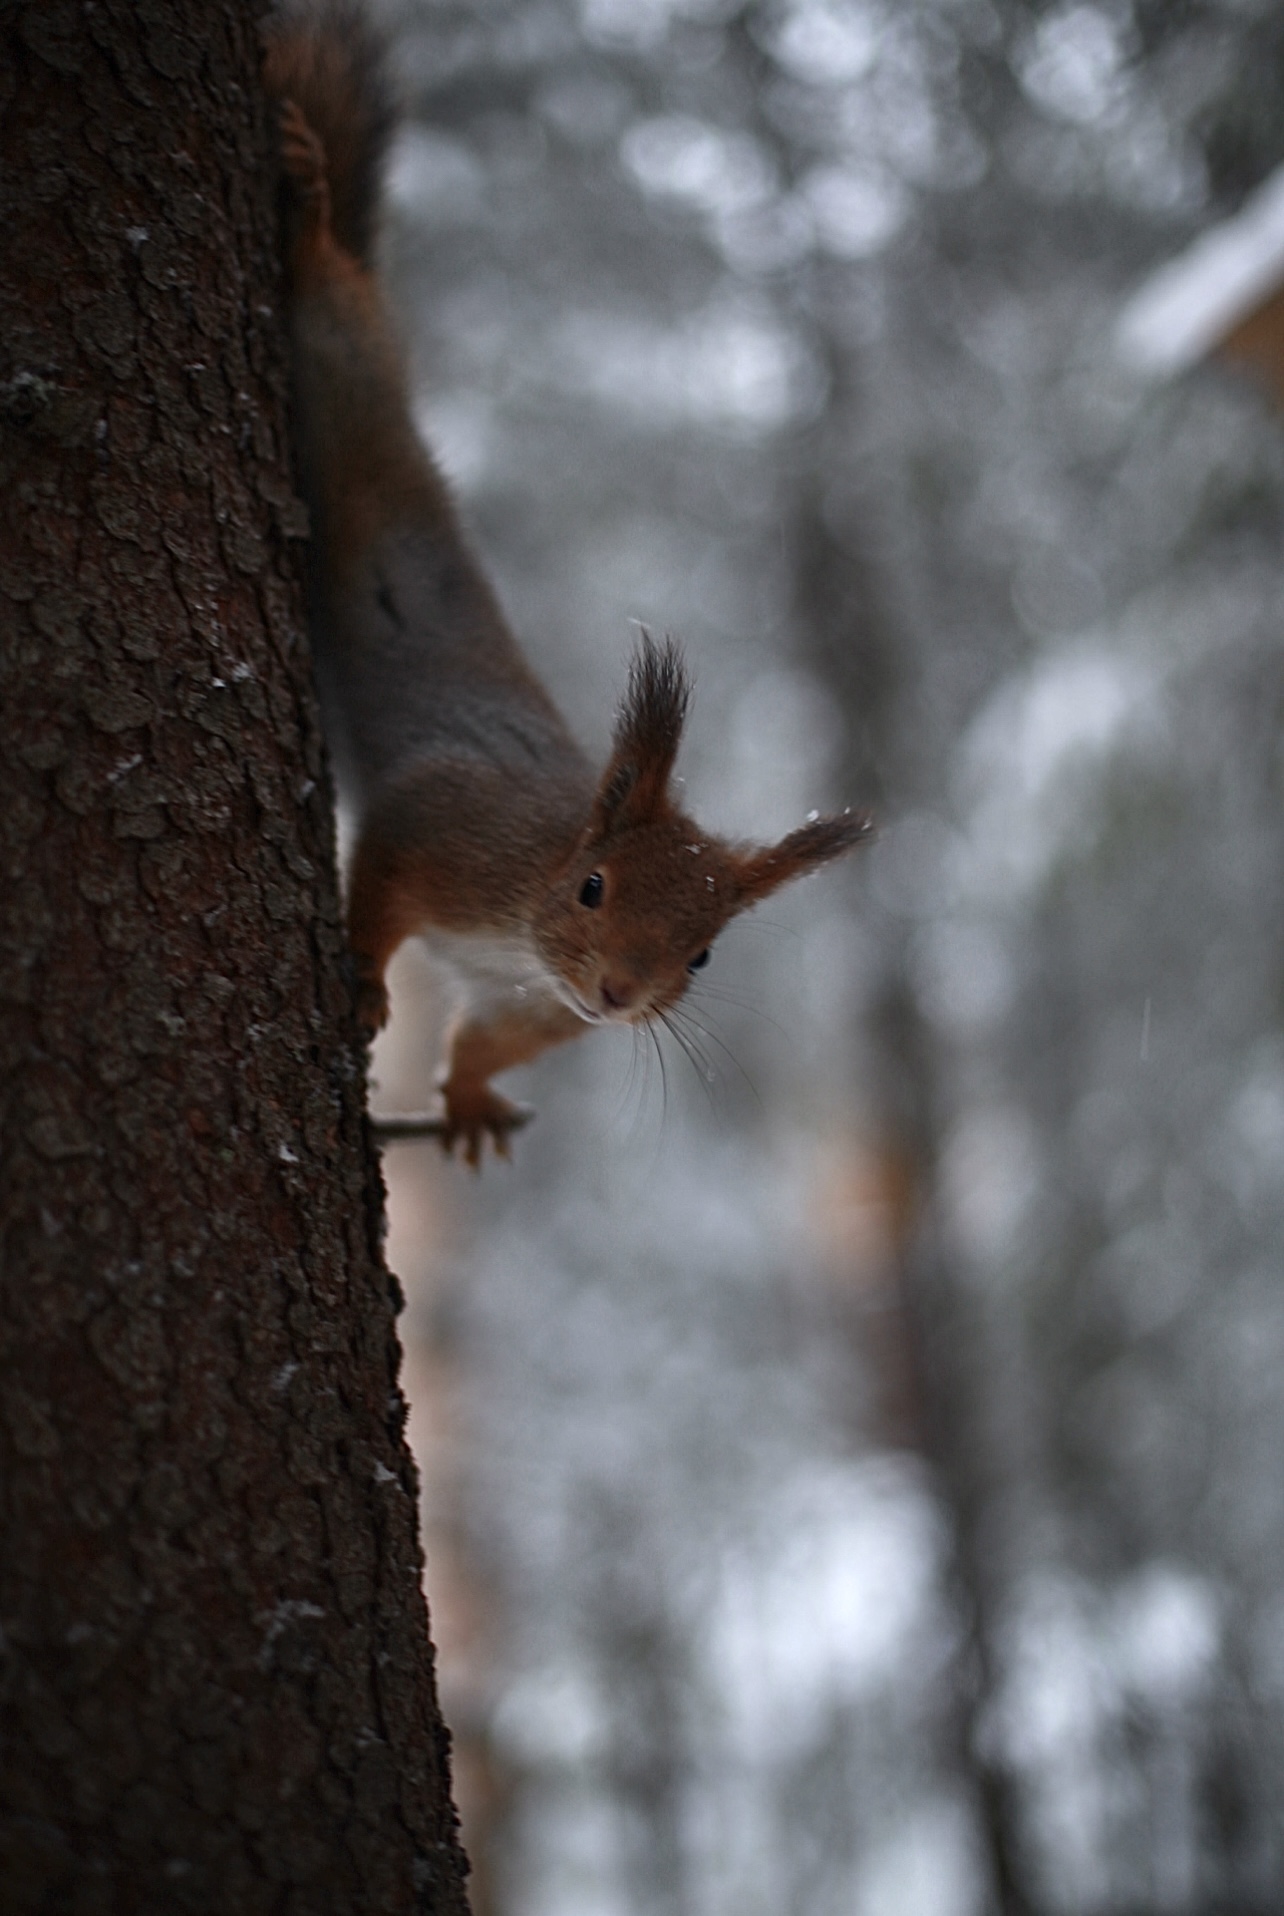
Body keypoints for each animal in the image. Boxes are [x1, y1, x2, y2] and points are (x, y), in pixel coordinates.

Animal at [262, 3, 873, 1164]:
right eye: (594, 886)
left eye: (705, 953)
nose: (619, 993)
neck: (521, 920)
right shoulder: (443, 824)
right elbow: (381, 880)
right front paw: (362, 979)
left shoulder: (527, 1005)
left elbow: (485, 1043)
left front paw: (464, 1101)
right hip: (339, 372)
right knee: (326, 294)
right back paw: (310, 206)